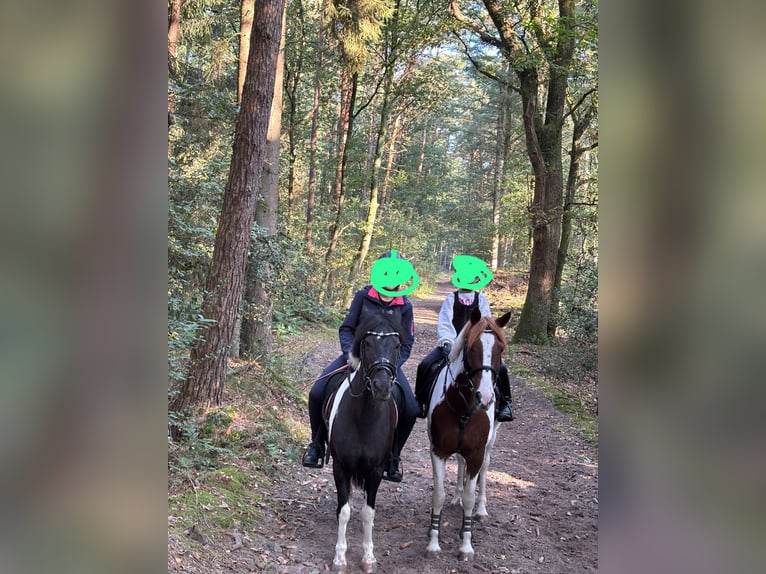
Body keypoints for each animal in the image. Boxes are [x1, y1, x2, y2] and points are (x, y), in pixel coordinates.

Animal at [325, 313, 405, 573]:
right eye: (367, 344)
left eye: (397, 345)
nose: (382, 387)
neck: (364, 416)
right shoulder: (340, 467)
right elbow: (345, 511)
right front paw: (340, 558)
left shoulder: (376, 470)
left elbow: (368, 514)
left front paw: (369, 557)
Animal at [425, 307, 511, 561]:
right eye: (472, 348)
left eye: (499, 349)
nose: (485, 397)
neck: (464, 406)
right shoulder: (439, 451)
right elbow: (439, 494)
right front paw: (433, 542)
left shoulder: (476, 454)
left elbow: (470, 497)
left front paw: (466, 545)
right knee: (460, 465)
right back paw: (456, 496)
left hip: (489, 445)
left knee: (484, 470)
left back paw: (481, 510)